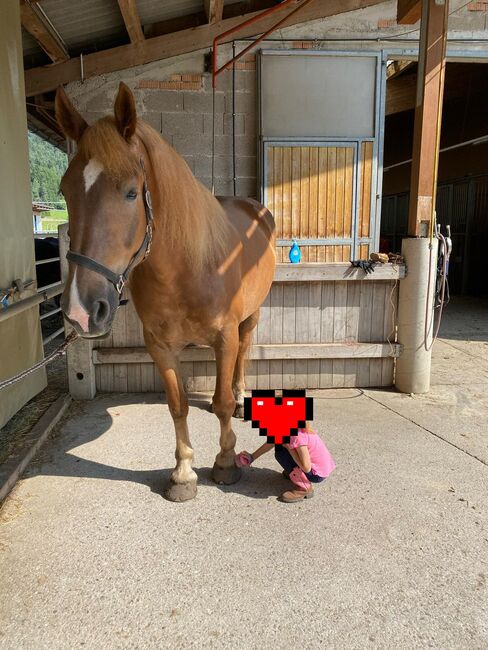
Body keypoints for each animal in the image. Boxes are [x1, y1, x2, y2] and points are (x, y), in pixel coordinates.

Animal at [55, 82, 276, 502]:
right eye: (64, 191)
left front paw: (225, 462)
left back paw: (243, 395)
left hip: (253, 315)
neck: (189, 267)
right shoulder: (159, 345)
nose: (81, 310)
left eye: (130, 193)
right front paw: (184, 473)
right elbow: (177, 406)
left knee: (244, 352)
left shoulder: (224, 338)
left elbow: (222, 403)